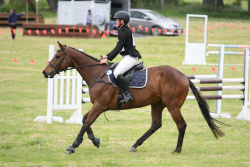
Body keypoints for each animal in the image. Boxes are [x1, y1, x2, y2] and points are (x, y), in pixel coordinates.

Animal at [42, 41, 226, 154]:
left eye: (57, 56)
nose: (45, 72)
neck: (96, 73)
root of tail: (183, 76)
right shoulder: (98, 106)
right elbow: (84, 120)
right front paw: (95, 140)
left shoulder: (99, 106)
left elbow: (86, 122)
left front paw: (72, 146)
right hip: (157, 104)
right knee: (156, 124)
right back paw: (135, 145)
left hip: (172, 106)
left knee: (181, 125)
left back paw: (177, 150)